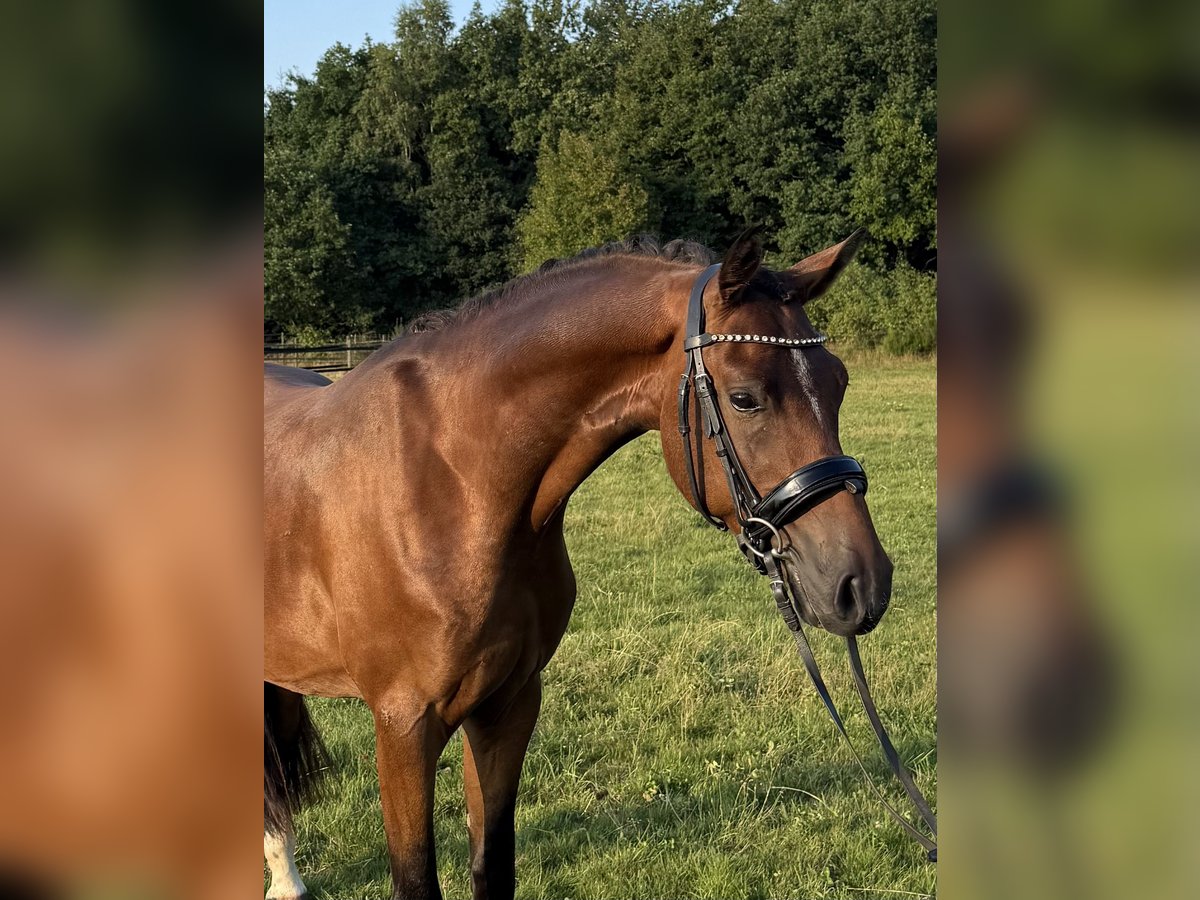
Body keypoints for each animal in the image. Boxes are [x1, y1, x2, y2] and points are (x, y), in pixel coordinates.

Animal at [263, 229, 893, 900]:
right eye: (746, 398)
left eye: (839, 383)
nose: (863, 584)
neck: (454, 483)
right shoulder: (404, 726)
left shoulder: (507, 706)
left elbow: (493, 866)